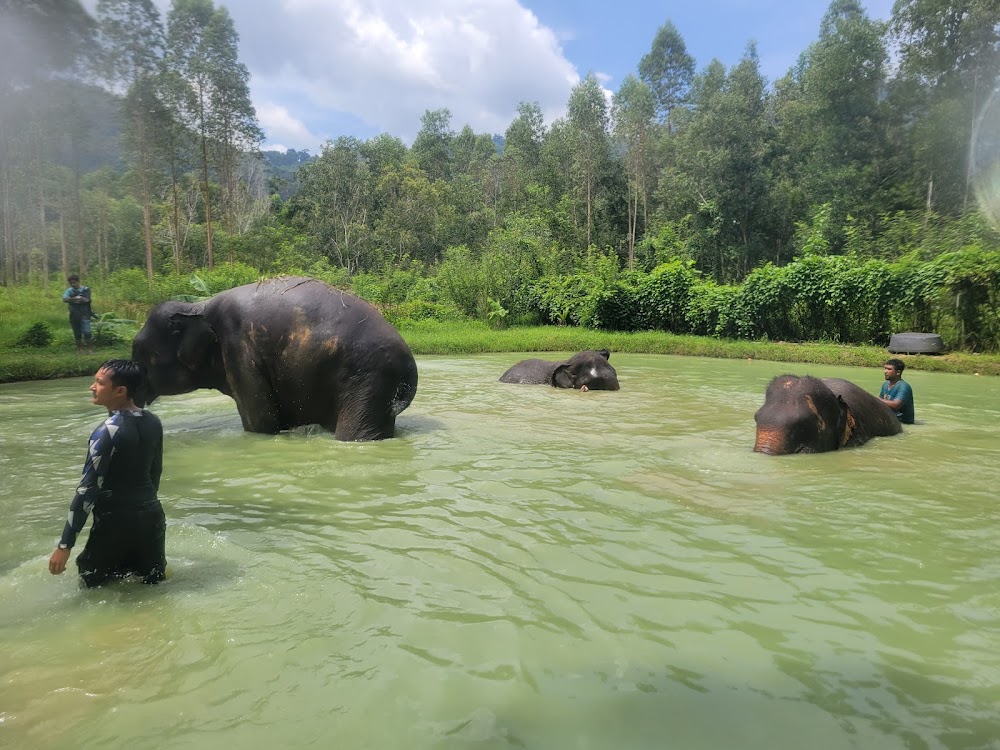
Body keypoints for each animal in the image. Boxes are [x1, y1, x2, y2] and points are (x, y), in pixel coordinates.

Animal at [131, 276, 418, 441]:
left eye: (140, 352)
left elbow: (260, 423)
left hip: (368, 379)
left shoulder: (237, 348)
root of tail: (410, 369)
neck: (197, 305)